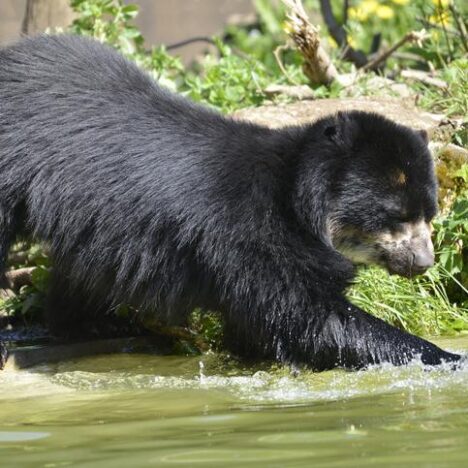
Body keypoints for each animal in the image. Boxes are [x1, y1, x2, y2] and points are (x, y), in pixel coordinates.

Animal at [0, 34, 460, 372]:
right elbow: (307, 318)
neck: (296, 197)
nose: (423, 262)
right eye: (397, 216)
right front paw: (448, 357)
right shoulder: (250, 235)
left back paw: (91, 324)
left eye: (429, 216)